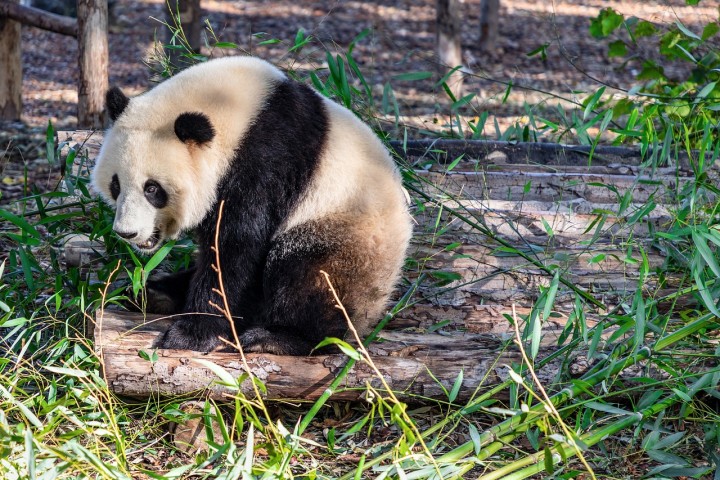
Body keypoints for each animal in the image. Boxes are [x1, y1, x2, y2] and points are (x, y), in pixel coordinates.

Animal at [91, 56, 410, 356]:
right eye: (116, 185)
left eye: (152, 189)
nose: (127, 233)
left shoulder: (266, 160)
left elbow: (237, 246)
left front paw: (191, 335)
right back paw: (154, 293)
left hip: (345, 234)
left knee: (307, 276)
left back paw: (279, 338)